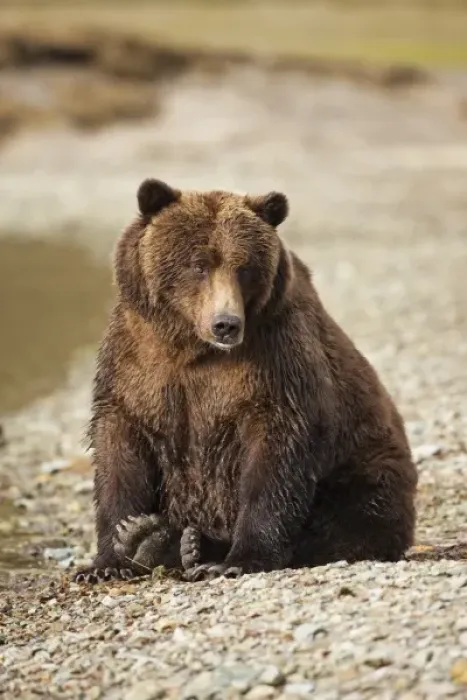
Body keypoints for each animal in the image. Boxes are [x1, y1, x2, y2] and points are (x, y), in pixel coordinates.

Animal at [73, 178, 418, 584]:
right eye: (199, 264)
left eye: (244, 268)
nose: (226, 323)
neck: (190, 346)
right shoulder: (135, 362)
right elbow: (120, 447)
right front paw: (109, 557)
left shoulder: (275, 359)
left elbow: (275, 452)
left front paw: (239, 559)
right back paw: (157, 539)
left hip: (366, 464)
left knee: (352, 515)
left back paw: (182, 545)